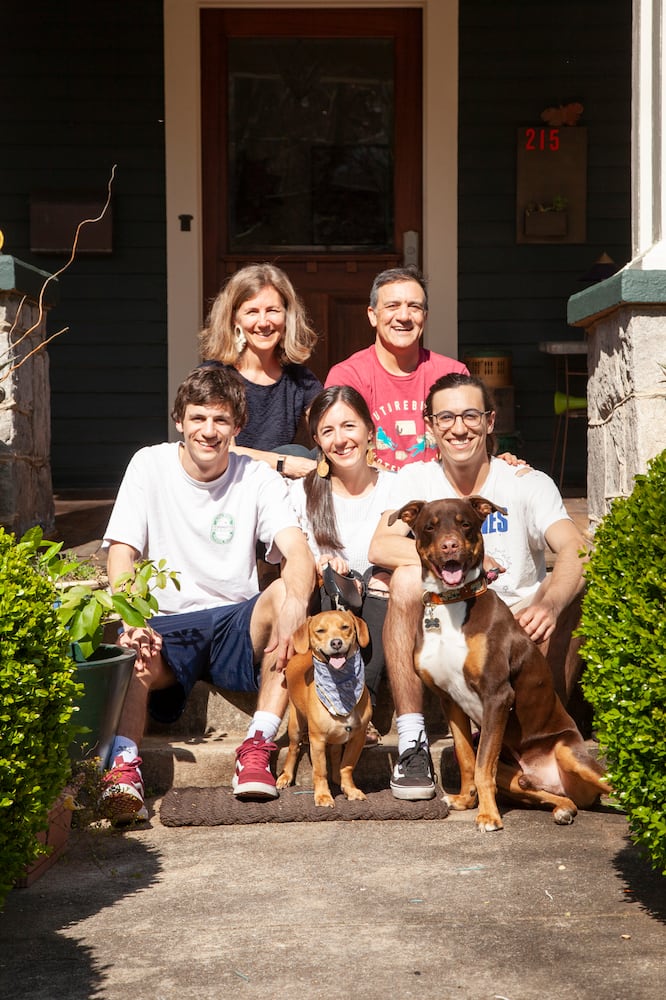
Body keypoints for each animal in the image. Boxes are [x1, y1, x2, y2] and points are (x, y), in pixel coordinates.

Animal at [274, 604, 370, 808]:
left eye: (345, 627)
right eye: (320, 631)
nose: (336, 643)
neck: (341, 688)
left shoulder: (357, 737)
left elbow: (346, 766)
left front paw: (350, 789)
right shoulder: (317, 740)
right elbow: (320, 771)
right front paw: (323, 795)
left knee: (335, 753)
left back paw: (337, 779)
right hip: (295, 724)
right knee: (293, 749)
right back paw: (286, 776)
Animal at [390, 492, 612, 828]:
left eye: (465, 524)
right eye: (430, 526)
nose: (450, 546)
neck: (453, 603)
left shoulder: (497, 695)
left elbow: (483, 767)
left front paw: (488, 815)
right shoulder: (449, 699)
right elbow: (468, 759)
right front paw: (465, 801)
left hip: (570, 754)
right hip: (516, 777)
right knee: (551, 794)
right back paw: (562, 808)